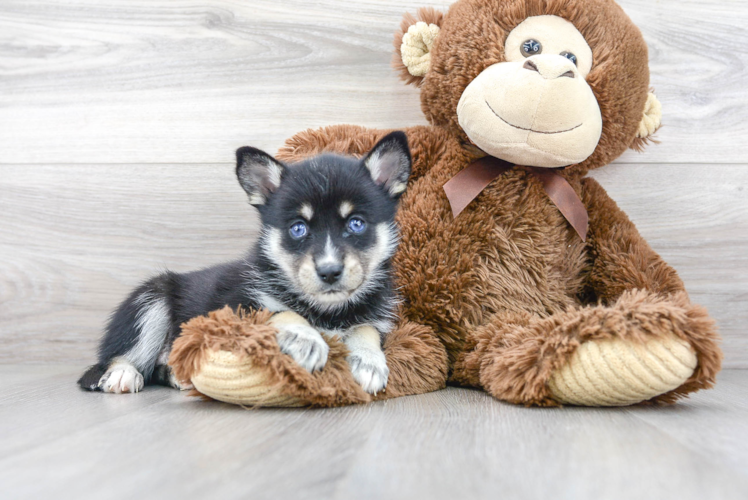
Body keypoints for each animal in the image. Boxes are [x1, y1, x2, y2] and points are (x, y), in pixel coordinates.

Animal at [79, 132, 412, 394]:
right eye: (298, 228)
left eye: (356, 224)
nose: (329, 272)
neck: (327, 312)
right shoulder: (234, 310)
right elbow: (281, 312)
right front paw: (307, 340)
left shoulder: (377, 319)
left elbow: (366, 329)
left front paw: (367, 362)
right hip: (151, 301)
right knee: (122, 355)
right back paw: (122, 374)